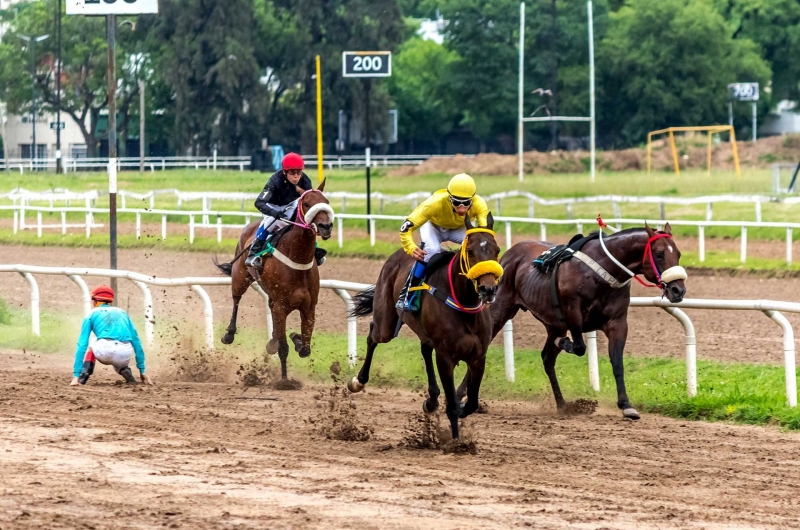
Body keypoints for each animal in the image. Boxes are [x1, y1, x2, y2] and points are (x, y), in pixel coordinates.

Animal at [214, 179, 332, 378]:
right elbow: (283, 348)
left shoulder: (309, 307)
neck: (297, 261)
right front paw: (284, 380)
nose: (326, 226)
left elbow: (305, 348)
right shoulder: (280, 307)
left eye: (327, 202)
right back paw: (229, 334)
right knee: (236, 299)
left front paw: (295, 338)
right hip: (240, 277)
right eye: (307, 204)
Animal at [348, 211, 504, 438]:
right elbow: (452, 406)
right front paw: (455, 440)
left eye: (497, 250)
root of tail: (397, 255)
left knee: (424, 349)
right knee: (373, 335)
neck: (463, 303)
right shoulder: (445, 356)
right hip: (386, 324)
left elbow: (472, 402)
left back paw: (431, 400)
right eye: (471, 251)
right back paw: (358, 381)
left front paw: (460, 409)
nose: (488, 289)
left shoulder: (478, 356)